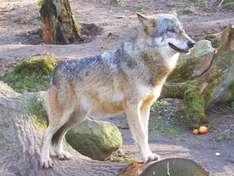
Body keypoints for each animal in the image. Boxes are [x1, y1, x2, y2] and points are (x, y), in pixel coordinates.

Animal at [40, 12, 196, 168]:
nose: (192, 43)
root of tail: (55, 70)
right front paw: (146, 157)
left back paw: (60, 154)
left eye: (183, 30)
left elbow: (145, 134)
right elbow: (140, 134)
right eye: (171, 30)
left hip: (76, 118)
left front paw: (148, 155)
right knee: (47, 134)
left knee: (59, 135)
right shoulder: (132, 107)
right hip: (63, 117)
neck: (146, 61)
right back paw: (45, 160)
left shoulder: (145, 108)